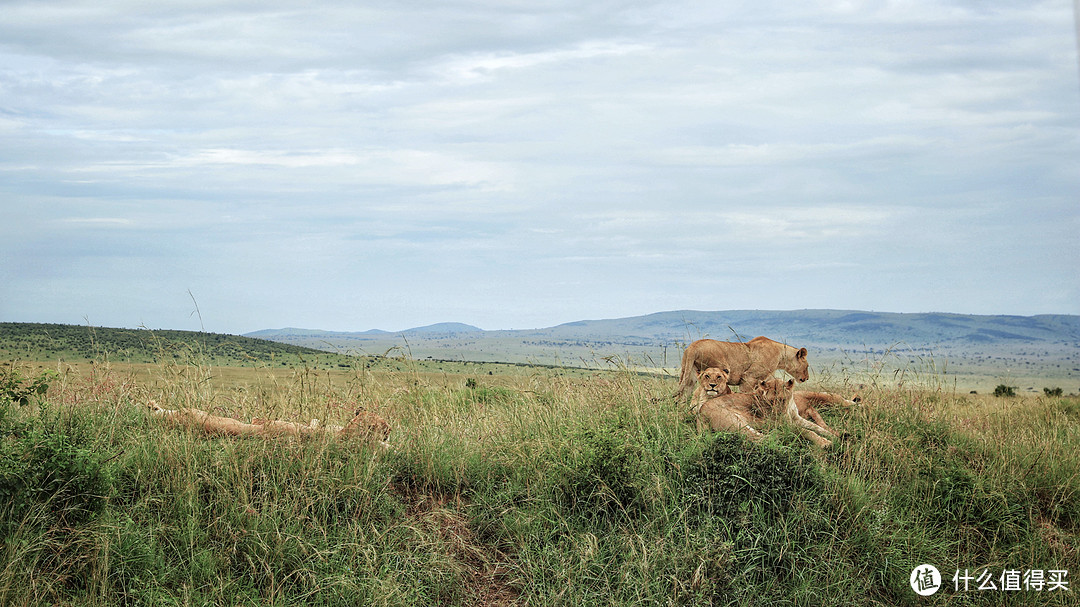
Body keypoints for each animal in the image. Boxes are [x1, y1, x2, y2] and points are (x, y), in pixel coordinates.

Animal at [673, 334, 812, 397]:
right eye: (807, 366)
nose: (807, 378)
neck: (782, 356)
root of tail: (693, 347)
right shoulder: (748, 378)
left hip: (688, 374)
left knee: (683, 394)